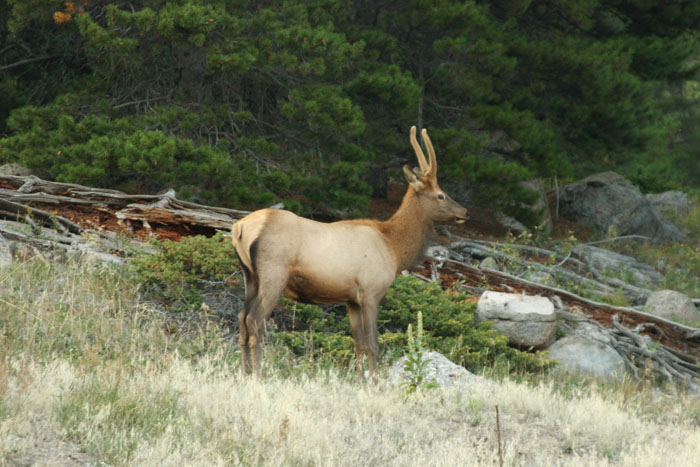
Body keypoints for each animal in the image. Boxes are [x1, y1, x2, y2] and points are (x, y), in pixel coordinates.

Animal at [232, 126, 468, 382]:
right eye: (440, 195)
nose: (465, 212)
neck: (394, 248)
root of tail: (240, 227)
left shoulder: (350, 299)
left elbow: (358, 344)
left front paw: (361, 382)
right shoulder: (371, 291)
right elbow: (373, 344)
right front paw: (375, 383)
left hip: (249, 275)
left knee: (242, 319)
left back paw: (244, 374)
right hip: (274, 273)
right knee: (255, 320)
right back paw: (258, 375)